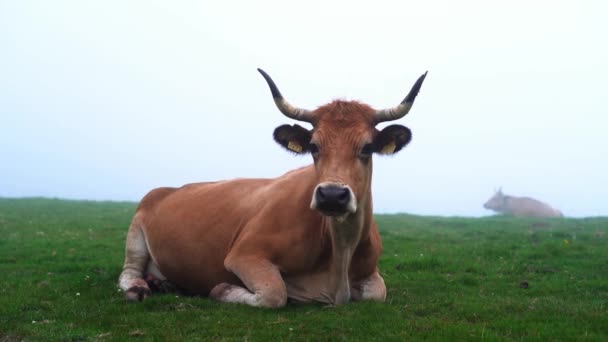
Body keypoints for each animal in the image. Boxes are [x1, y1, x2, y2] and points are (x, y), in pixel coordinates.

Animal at [119, 67, 428, 308]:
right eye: (314, 147)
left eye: (366, 148)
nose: (331, 195)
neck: (340, 252)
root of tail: (167, 189)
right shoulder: (244, 254)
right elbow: (274, 293)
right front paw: (222, 289)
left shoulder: (371, 272)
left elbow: (378, 292)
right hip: (135, 233)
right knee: (128, 271)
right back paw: (139, 287)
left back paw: (165, 284)